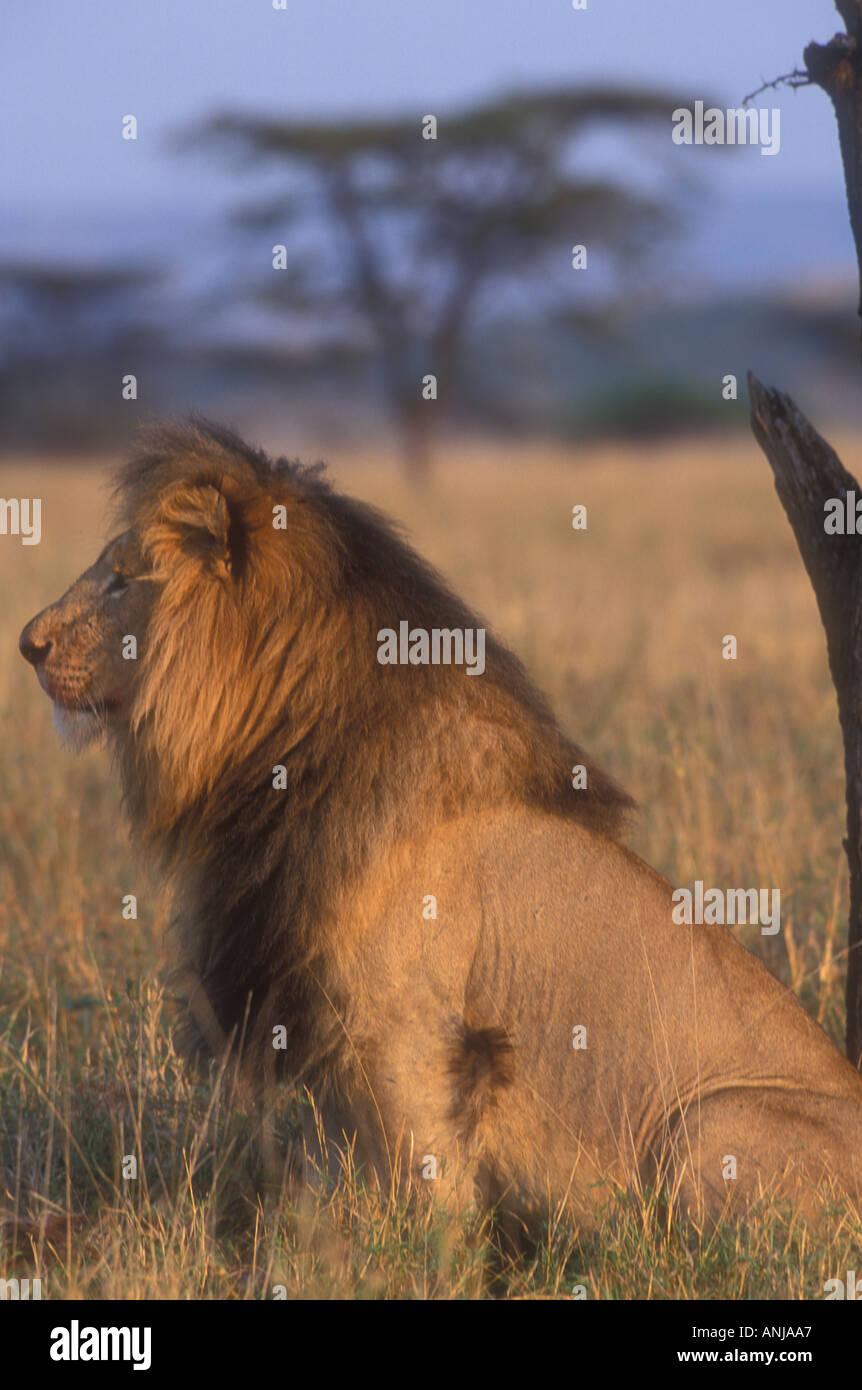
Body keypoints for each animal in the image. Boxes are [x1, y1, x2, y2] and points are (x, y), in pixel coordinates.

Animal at [19, 420, 862, 1233]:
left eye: (123, 578)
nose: (27, 645)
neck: (270, 765)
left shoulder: (403, 1029)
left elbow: (425, 1180)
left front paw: (430, 1253)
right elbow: (340, 1167)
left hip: (705, 1124)